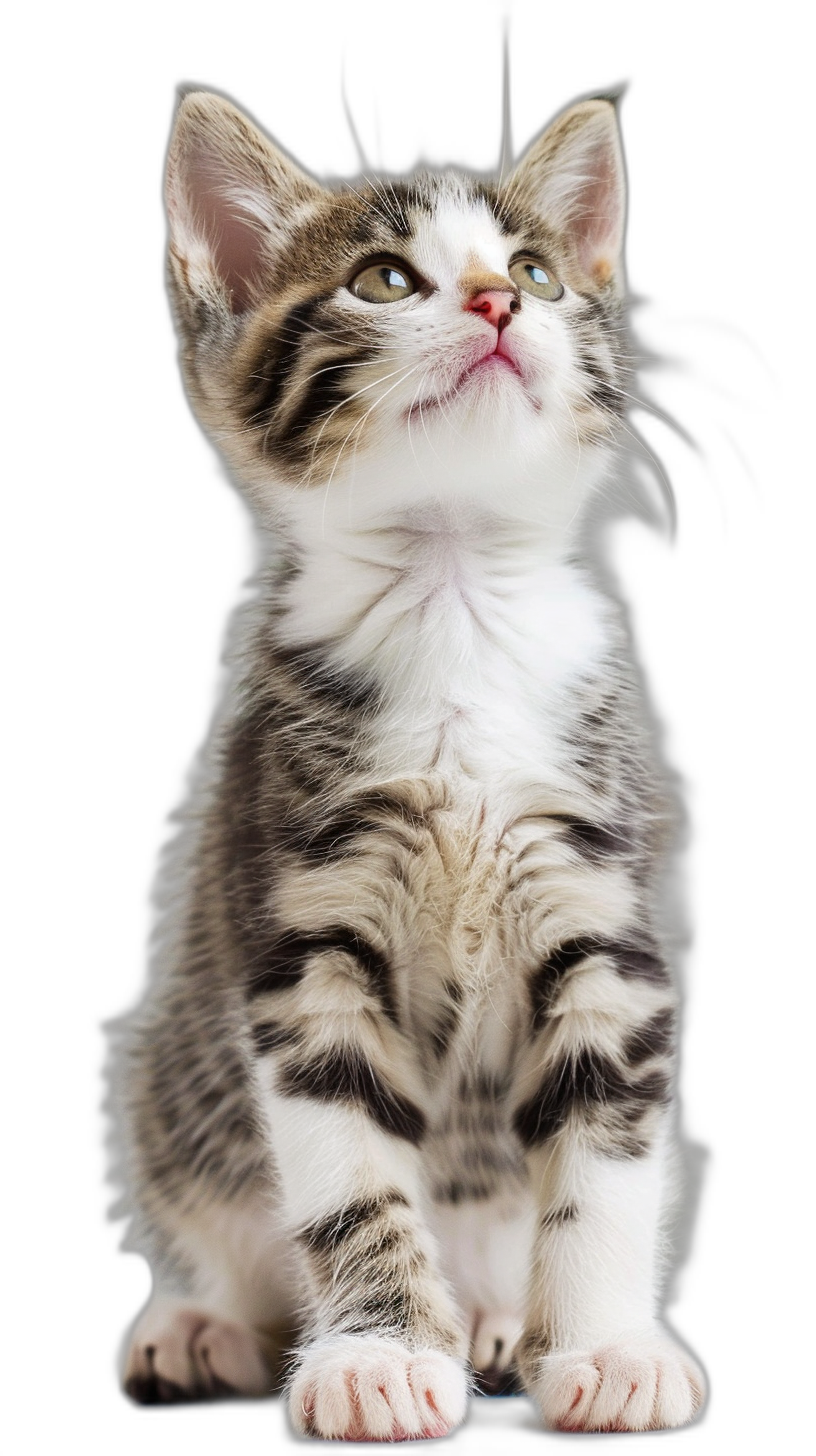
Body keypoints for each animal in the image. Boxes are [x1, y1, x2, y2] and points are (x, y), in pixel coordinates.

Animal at [107, 85, 708, 1438]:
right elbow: (346, 1175)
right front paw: (377, 1357)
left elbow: (608, 1161)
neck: (453, 593)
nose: (496, 303)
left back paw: (493, 1318)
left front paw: (605, 1346)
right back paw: (200, 1325)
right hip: (173, 1069)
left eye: (535, 270)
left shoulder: (604, 893)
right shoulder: (301, 927)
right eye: (385, 280)